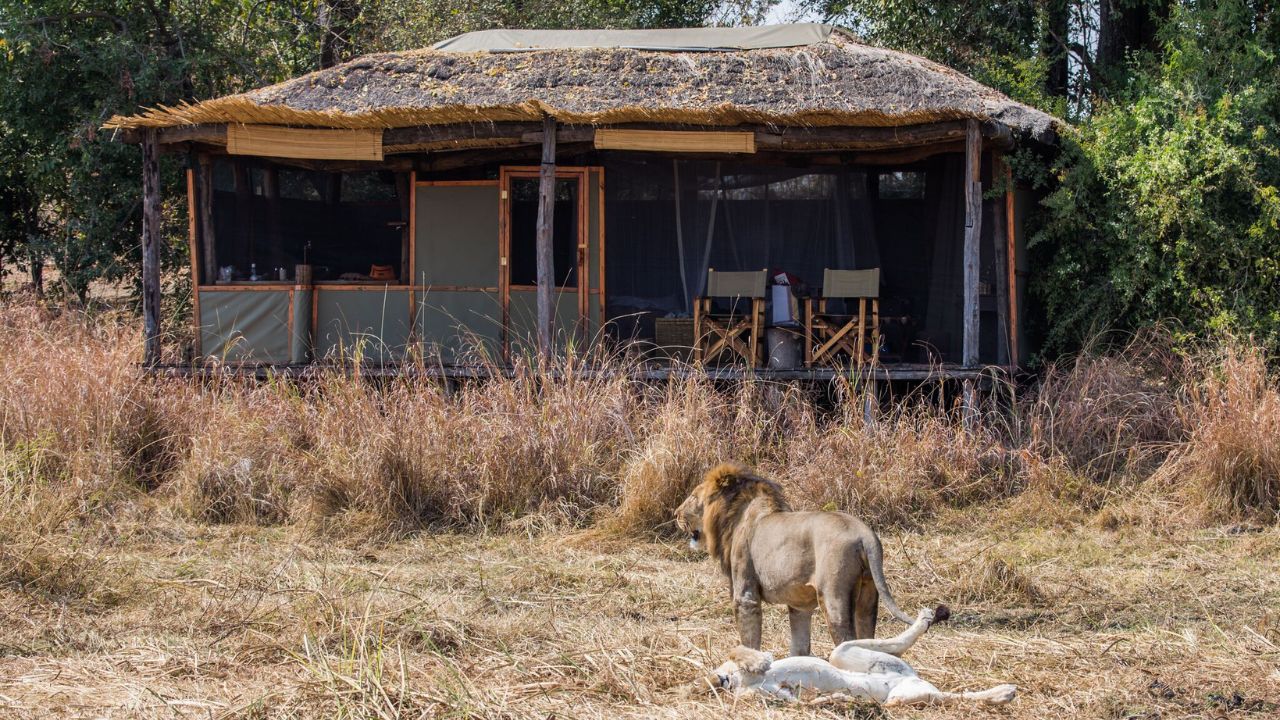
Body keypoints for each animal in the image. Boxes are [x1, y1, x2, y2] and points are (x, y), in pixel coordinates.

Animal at [675, 462, 916, 656]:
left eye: (694, 497)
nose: (675, 513)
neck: (734, 517)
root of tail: (864, 534)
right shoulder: (799, 604)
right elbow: (799, 645)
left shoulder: (746, 594)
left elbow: (750, 639)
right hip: (868, 597)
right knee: (868, 634)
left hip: (833, 596)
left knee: (846, 638)